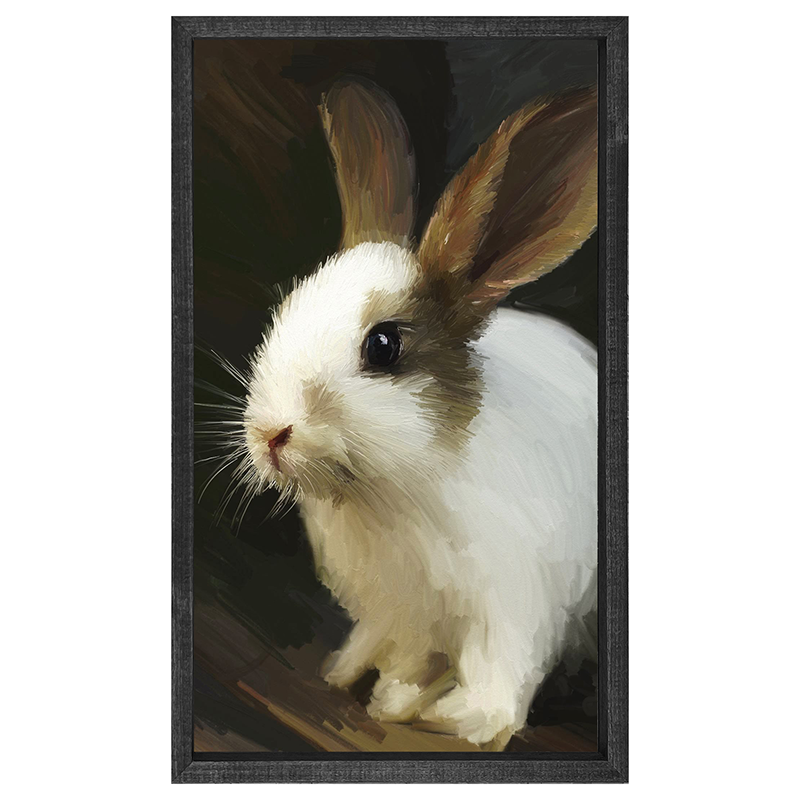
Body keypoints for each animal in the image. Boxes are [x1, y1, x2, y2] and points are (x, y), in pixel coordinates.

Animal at [241, 78, 598, 747]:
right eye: (287, 306)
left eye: (383, 346)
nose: (270, 434)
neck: (392, 490)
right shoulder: (399, 612)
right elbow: (406, 657)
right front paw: (387, 696)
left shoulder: (512, 605)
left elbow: (499, 671)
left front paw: (462, 720)